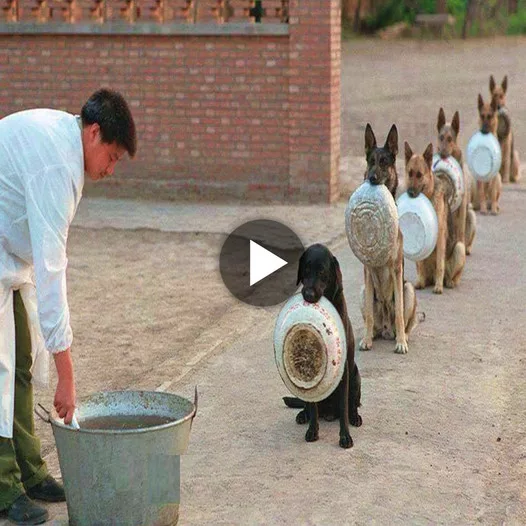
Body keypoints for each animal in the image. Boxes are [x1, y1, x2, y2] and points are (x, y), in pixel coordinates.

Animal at [284, 244, 364, 450]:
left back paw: (355, 417)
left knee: (352, 405)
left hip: (356, 376)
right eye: (305, 270)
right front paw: (313, 430)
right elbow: (312, 407)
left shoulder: (344, 372)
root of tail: (328, 412)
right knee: (309, 406)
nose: (308, 295)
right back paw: (303, 415)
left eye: (322, 272)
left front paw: (345, 437)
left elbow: (344, 408)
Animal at [360, 124, 418, 354]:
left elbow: (400, 314)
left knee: (406, 320)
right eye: (370, 161)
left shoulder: (396, 268)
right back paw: (372, 335)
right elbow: (368, 314)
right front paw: (366, 340)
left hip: (408, 289)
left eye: (384, 162)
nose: (371, 178)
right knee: (373, 320)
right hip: (363, 291)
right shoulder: (367, 271)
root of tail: (385, 328)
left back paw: (403, 336)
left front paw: (401, 342)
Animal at [406, 142, 468, 294]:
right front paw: (420, 282)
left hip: (459, 248)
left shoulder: (440, 237)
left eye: (419, 175)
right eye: (410, 174)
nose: (410, 193)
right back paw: (423, 281)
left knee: (451, 276)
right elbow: (421, 264)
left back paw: (448, 282)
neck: (429, 196)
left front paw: (438, 287)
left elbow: (440, 263)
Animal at [438, 107, 478, 256]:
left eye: (450, 139)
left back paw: (466, 248)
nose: (442, 154)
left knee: (466, 241)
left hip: (471, 214)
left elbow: (460, 230)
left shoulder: (461, 210)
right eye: (441, 137)